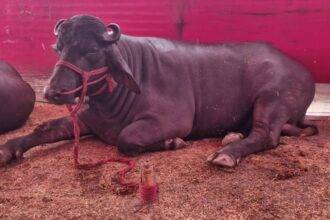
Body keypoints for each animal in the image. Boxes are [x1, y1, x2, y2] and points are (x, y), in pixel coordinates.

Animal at [0, 15, 320, 167]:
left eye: (91, 50)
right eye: (59, 47)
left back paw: (227, 153)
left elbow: (127, 138)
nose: (53, 91)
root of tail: (302, 72)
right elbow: (43, 128)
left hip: (272, 98)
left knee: (267, 135)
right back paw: (231, 136)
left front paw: (171, 142)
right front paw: (8, 148)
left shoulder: (174, 120)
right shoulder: (86, 120)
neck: (109, 101)